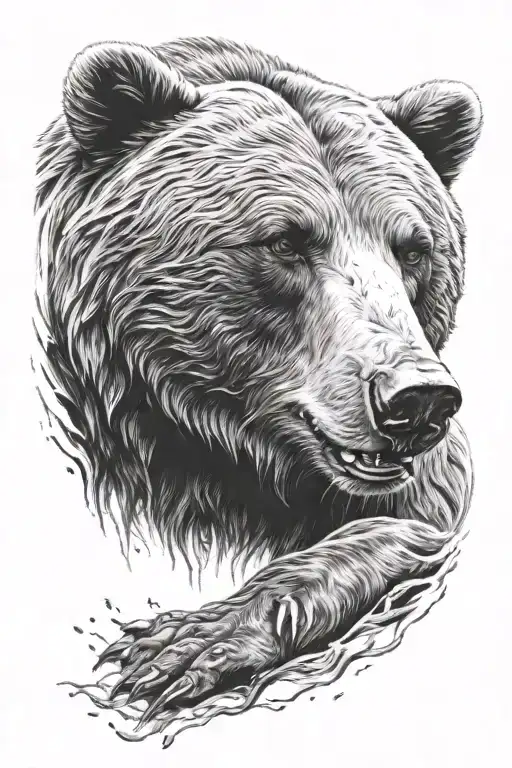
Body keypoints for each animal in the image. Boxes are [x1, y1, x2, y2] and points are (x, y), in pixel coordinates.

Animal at [34, 37, 481, 738]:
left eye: (414, 249)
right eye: (284, 241)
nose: (417, 399)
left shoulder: (421, 476)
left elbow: (407, 521)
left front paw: (189, 642)